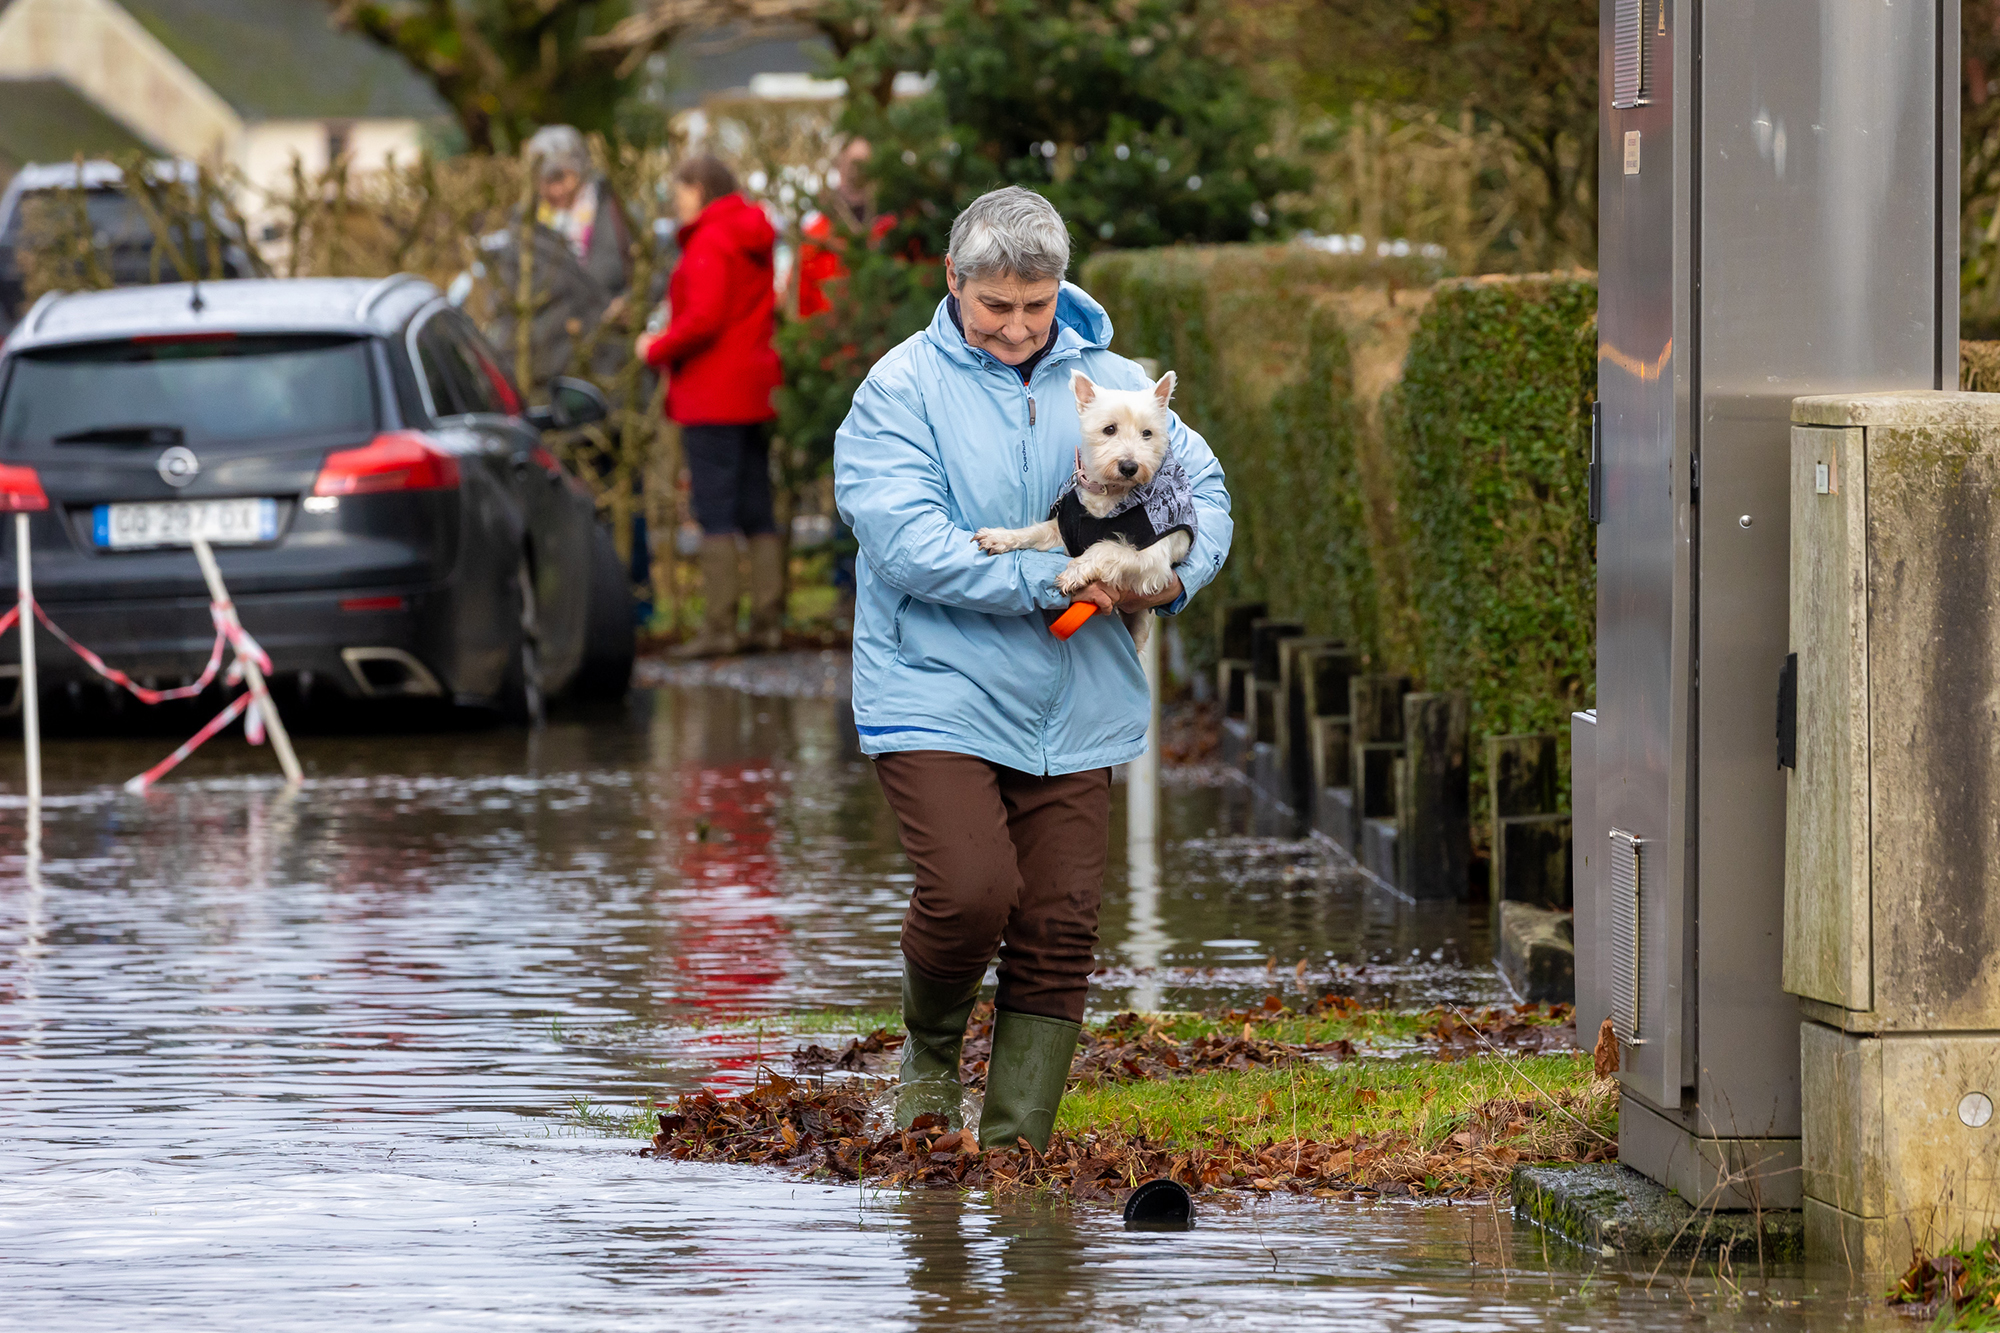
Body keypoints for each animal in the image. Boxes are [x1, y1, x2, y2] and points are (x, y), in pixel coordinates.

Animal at [976, 368, 1192, 648]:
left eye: (1147, 433)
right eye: (1109, 429)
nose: (1129, 466)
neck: (1109, 494)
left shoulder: (1153, 559)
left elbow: (1107, 548)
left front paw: (1075, 572)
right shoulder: (1063, 531)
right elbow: (1033, 532)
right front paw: (999, 537)